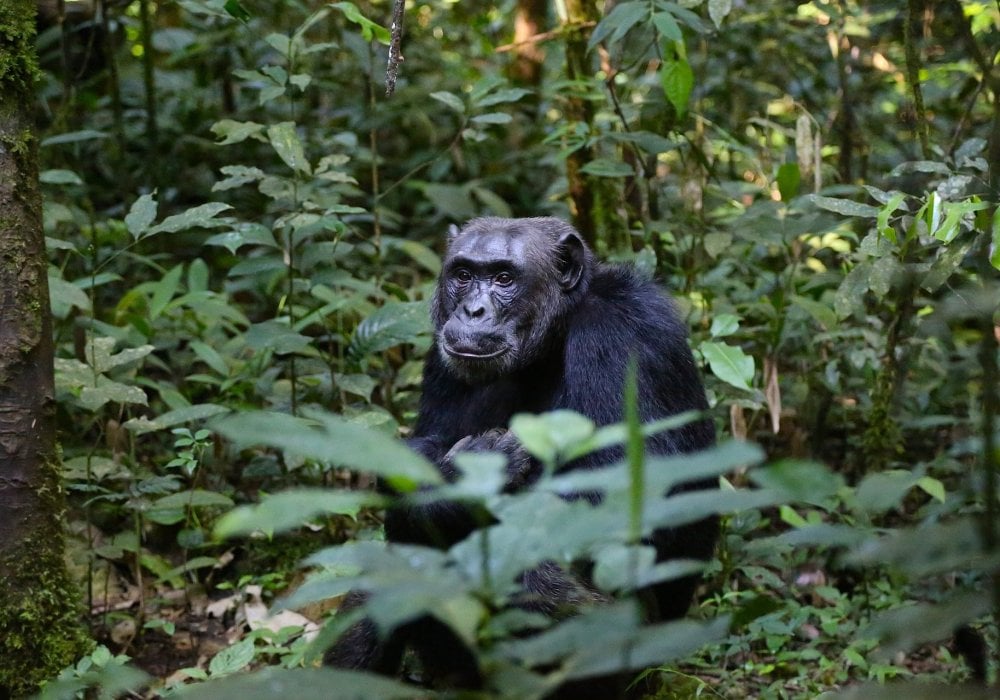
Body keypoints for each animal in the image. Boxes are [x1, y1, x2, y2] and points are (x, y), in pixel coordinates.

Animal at [324, 217, 716, 696]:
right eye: (463, 275)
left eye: (504, 279)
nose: (473, 311)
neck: (552, 338)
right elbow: (421, 454)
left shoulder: (625, 336)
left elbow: (628, 493)